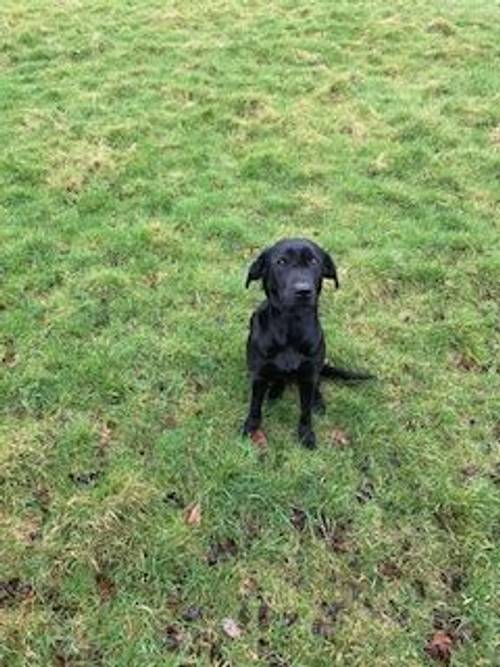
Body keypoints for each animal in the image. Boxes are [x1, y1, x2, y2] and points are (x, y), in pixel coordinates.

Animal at [242, 237, 372, 452]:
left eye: (313, 261)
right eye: (281, 262)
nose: (303, 291)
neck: (290, 329)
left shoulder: (308, 375)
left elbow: (305, 411)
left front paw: (306, 434)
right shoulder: (259, 374)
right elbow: (254, 406)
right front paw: (250, 428)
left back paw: (317, 401)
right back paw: (275, 392)